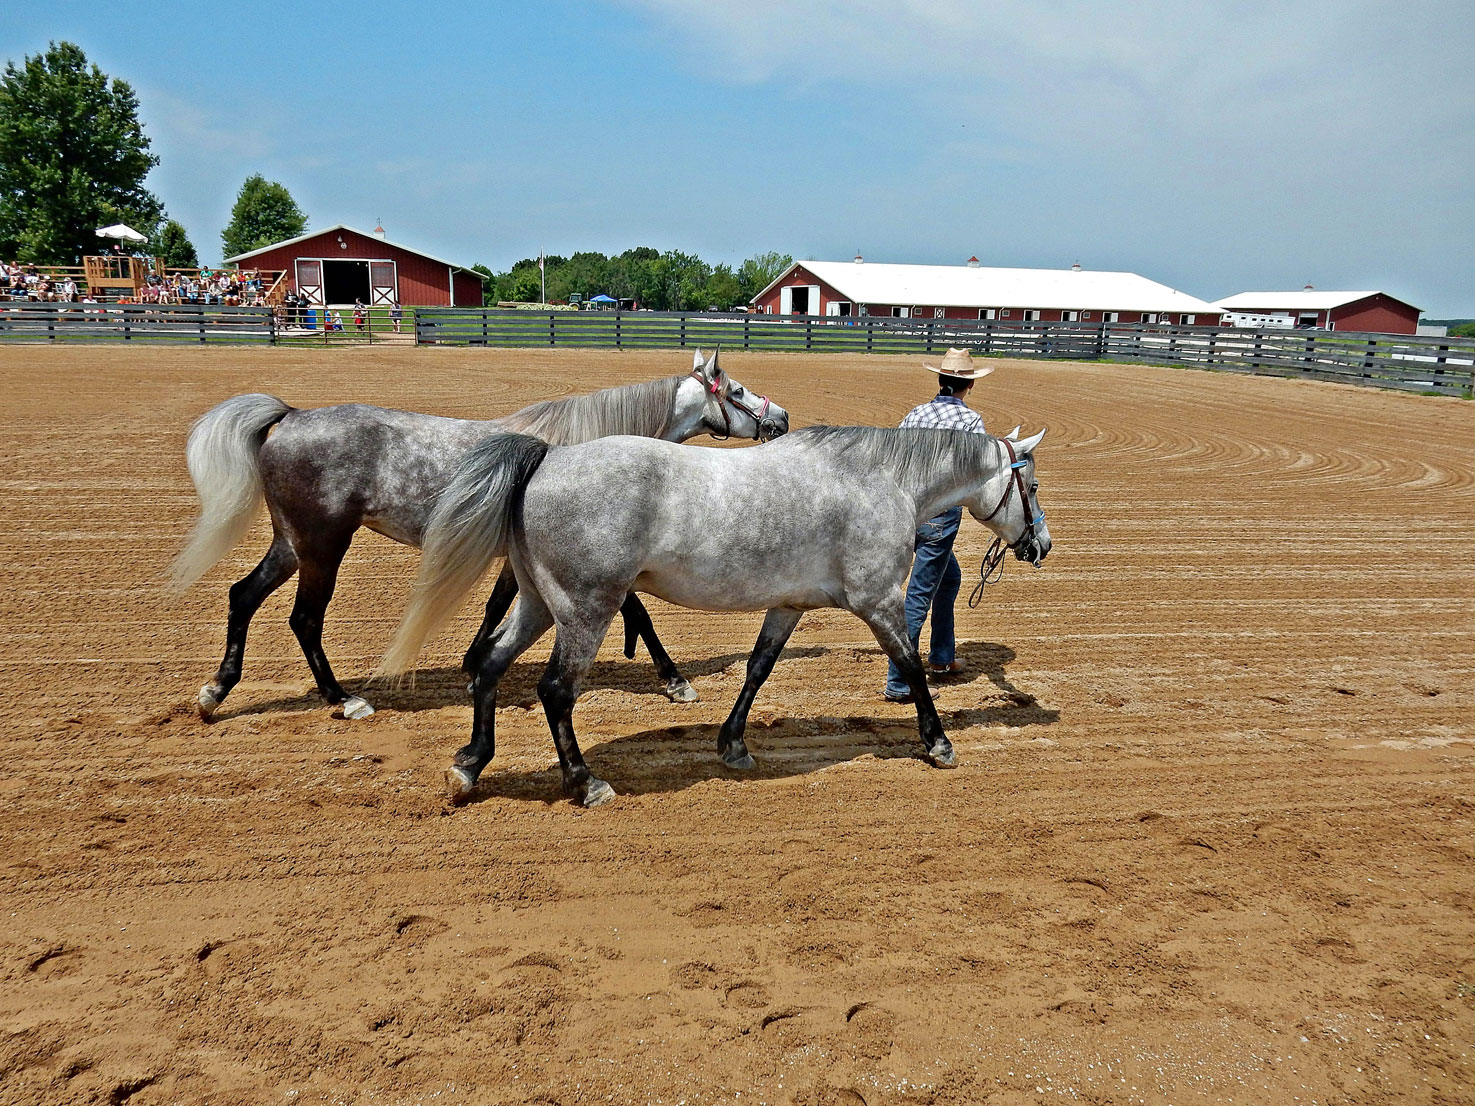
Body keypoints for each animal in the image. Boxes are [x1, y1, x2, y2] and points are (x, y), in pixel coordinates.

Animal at [168, 349, 789, 721]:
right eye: (736, 388)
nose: (780, 418)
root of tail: (290, 416)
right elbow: (636, 612)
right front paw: (675, 679)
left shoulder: (523, 560)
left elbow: (497, 606)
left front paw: (474, 661)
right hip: (323, 547)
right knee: (304, 619)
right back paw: (343, 699)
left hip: (291, 544)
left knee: (243, 596)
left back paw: (215, 693)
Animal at [379, 424, 1050, 807]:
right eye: (1034, 487)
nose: (1041, 545)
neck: (880, 480)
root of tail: (547, 460)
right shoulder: (879, 602)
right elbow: (910, 666)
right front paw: (938, 743)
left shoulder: (788, 605)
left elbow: (758, 669)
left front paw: (733, 744)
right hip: (586, 610)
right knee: (555, 691)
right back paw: (584, 783)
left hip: (539, 604)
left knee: (490, 666)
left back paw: (469, 766)